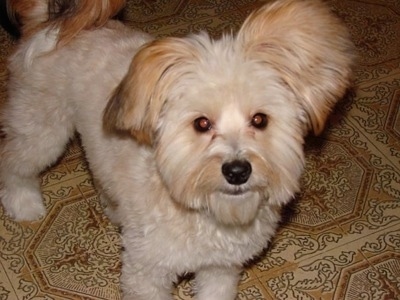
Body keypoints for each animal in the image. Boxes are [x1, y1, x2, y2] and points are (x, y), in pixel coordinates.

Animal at [0, 1, 354, 298]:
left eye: (259, 119)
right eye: (201, 123)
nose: (237, 171)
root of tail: (49, 24)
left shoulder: (220, 268)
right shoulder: (147, 274)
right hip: (43, 130)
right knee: (13, 162)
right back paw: (24, 203)